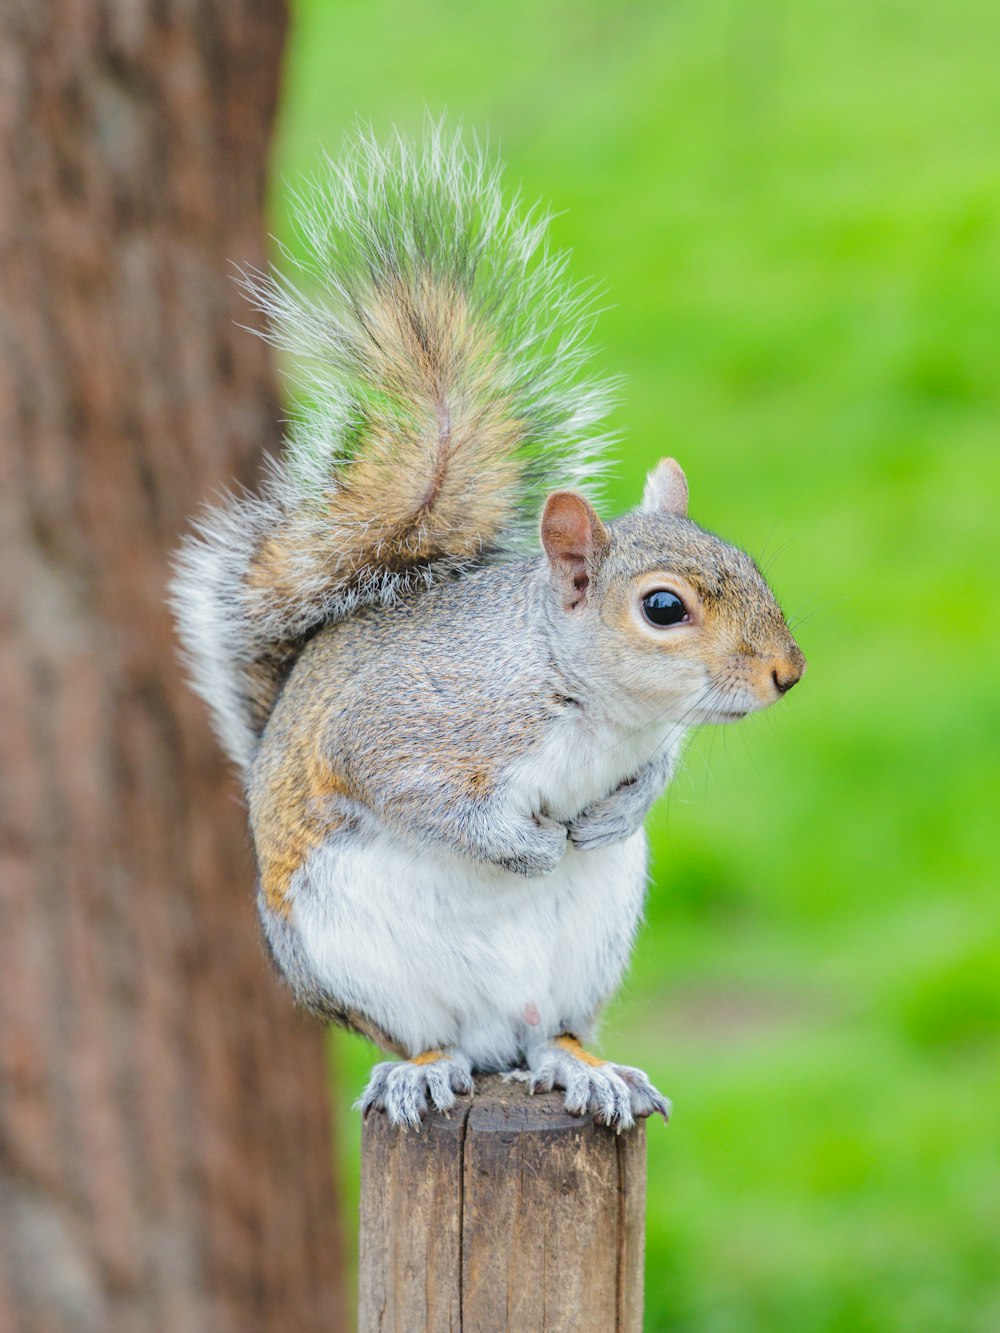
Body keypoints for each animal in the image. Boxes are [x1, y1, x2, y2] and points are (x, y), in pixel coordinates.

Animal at [172, 125, 805, 1130]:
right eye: (664, 607)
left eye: (746, 562)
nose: (788, 670)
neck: (589, 702)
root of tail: (493, 1037)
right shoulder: (412, 724)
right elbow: (416, 792)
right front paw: (527, 845)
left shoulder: (646, 739)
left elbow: (654, 772)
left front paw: (615, 810)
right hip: (358, 961)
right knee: (425, 1035)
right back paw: (425, 1068)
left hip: (590, 951)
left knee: (551, 1032)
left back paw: (587, 1067)